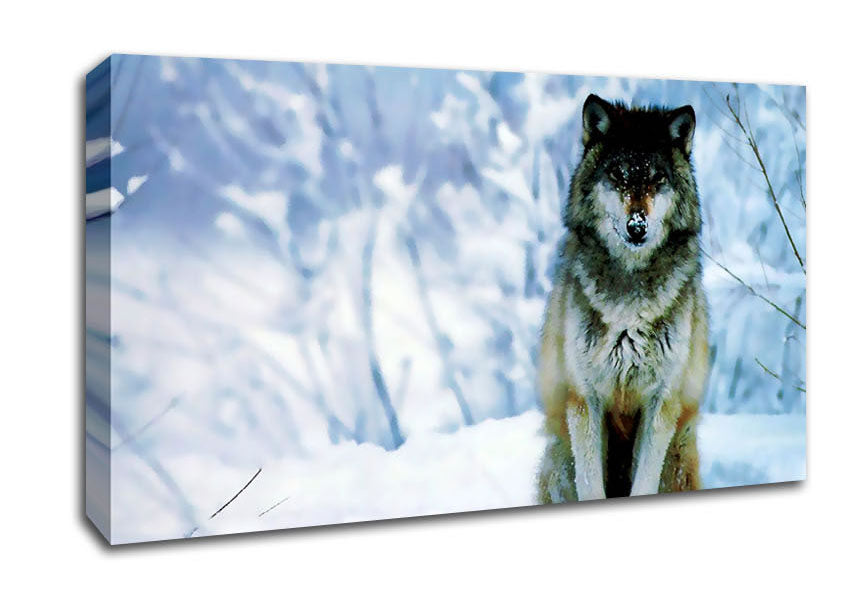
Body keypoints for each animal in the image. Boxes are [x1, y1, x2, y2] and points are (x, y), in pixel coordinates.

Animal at [537, 94, 710, 502]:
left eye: (657, 179)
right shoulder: (584, 399)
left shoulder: (661, 402)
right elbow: (590, 486)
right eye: (618, 176)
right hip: (559, 458)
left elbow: (644, 482)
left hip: (679, 456)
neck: (630, 301)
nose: (637, 226)